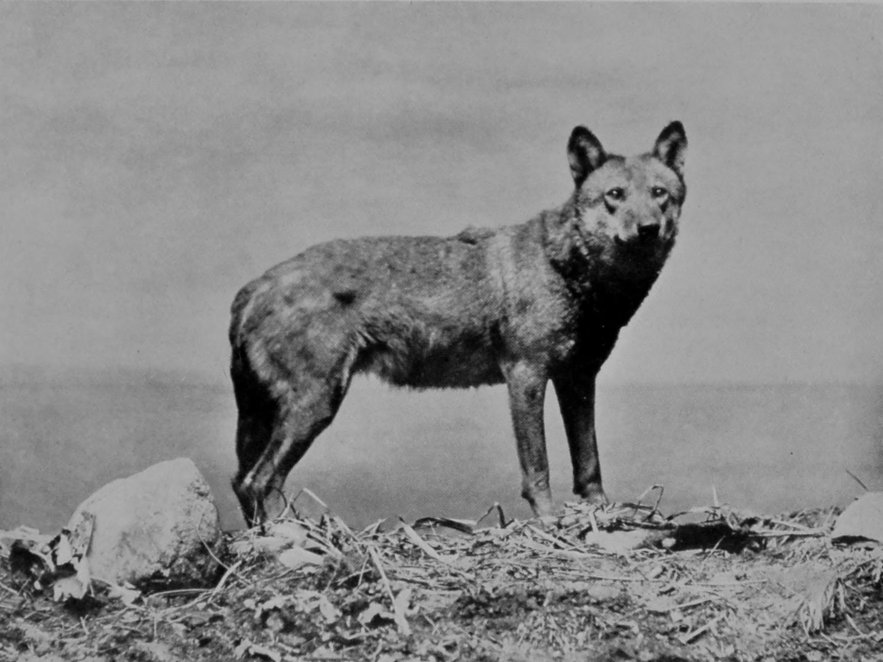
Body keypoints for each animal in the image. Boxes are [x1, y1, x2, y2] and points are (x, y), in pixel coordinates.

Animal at [229, 122, 687, 525]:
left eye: (659, 194)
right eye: (615, 195)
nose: (649, 228)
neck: (570, 271)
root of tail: (253, 287)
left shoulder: (578, 380)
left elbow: (589, 465)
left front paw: (602, 517)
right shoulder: (526, 376)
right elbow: (537, 469)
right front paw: (549, 524)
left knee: (241, 481)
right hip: (317, 405)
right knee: (259, 481)